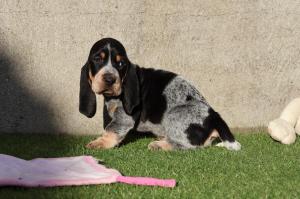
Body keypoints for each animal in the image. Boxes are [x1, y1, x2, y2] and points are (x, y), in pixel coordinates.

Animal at [79, 37, 241, 151]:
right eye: (97, 59)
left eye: (121, 64)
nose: (110, 79)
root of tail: (213, 115)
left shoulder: (124, 117)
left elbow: (111, 129)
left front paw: (99, 142)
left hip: (174, 114)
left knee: (191, 146)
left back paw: (160, 145)